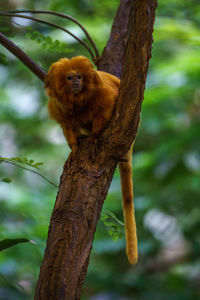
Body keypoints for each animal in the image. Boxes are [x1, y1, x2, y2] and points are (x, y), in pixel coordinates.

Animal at [44, 55, 138, 264]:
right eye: (70, 78)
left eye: (79, 76)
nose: (77, 82)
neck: (77, 100)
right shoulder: (58, 108)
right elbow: (68, 126)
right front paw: (75, 148)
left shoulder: (103, 96)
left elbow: (105, 109)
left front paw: (95, 138)